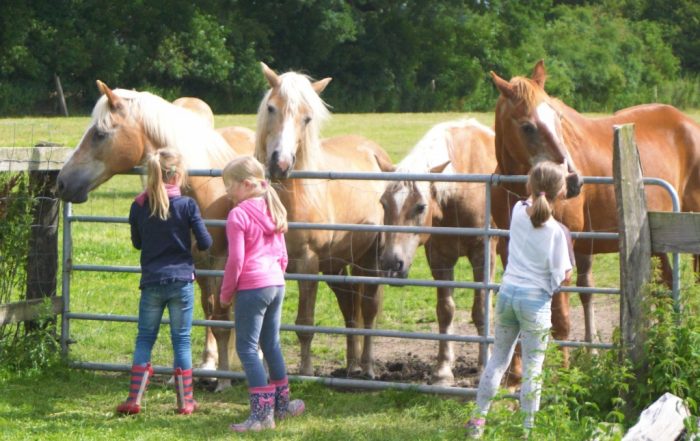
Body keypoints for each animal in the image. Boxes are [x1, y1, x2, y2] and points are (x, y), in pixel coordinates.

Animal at [56, 81, 252, 390]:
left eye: (99, 134)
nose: (62, 182)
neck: (206, 188)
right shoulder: (196, 262)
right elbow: (204, 315)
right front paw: (191, 373)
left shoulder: (223, 262)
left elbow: (223, 318)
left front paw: (224, 380)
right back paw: (208, 364)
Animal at [254, 62, 394, 378]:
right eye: (271, 107)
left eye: (307, 118)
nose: (280, 164)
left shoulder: (308, 264)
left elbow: (305, 323)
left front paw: (306, 370)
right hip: (335, 265)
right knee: (349, 307)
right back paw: (352, 365)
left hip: (369, 259)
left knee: (368, 309)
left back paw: (367, 367)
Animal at [378, 118, 498, 384]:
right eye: (383, 203)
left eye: (421, 206)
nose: (391, 264)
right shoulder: (439, 258)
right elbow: (445, 311)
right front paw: (443, 370)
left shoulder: (482, 254)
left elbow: (481, 310)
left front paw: (484, 365)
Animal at [490, 59, 700, 378]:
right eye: (527, 126)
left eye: (558, 118)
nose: (572, 181)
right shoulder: (508, 248)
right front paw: (512, 376)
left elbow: (561, 319)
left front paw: (565, 374)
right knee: (664, 284)